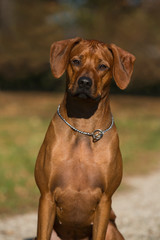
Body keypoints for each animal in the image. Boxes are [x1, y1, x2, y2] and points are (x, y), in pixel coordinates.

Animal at [34, 37, 135, 240]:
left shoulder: (104, 200)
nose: (85, 82)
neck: (83, 128)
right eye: (76, 61)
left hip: (111, 229)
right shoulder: (46, 196)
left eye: (103, 66)